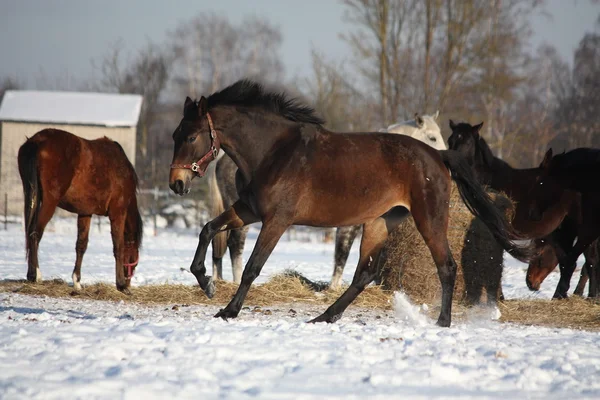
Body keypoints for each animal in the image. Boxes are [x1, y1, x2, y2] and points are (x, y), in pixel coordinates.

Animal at [18, 130, 142, 292]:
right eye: (134, 261)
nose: (128, 283)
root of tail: (37, 141)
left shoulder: (85, 213)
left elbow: (81, 245)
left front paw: (77, 281)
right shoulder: (118, 212)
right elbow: (118, 246)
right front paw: (120, 284)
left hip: (31, 194)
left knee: (29, 233)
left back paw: (30, 274)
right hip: (49, 203)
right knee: (35, 233)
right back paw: (36, 275)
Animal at [166, 79, 528, 326]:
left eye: (192, 136)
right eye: (175, 135)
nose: (177, 183)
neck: (274, 152)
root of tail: (437, 157)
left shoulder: (277, 220)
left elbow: (253, 267)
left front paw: (228, 310)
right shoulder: (248, 210)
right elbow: (207, 229)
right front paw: (207, 283)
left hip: (429, 220)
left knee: (447, 267)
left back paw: (442, 322)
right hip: (380, 222)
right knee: (363, 275)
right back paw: (324, 316)